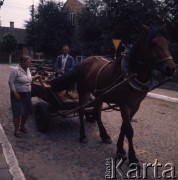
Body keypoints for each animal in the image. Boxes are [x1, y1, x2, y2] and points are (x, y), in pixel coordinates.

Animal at [50, 25, 176, 165]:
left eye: (168, 43)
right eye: (153, 43)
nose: (171, 68)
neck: (131, 75)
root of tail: (83, 62)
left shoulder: (135, 106)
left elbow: (124, 127)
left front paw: (120, 149)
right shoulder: (124, 105)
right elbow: (129, 130)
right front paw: (132, 157)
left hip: (99, 96)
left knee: (97, 113)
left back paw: (104, 135)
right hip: (83, 90)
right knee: (82, 110)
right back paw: (83, 135)